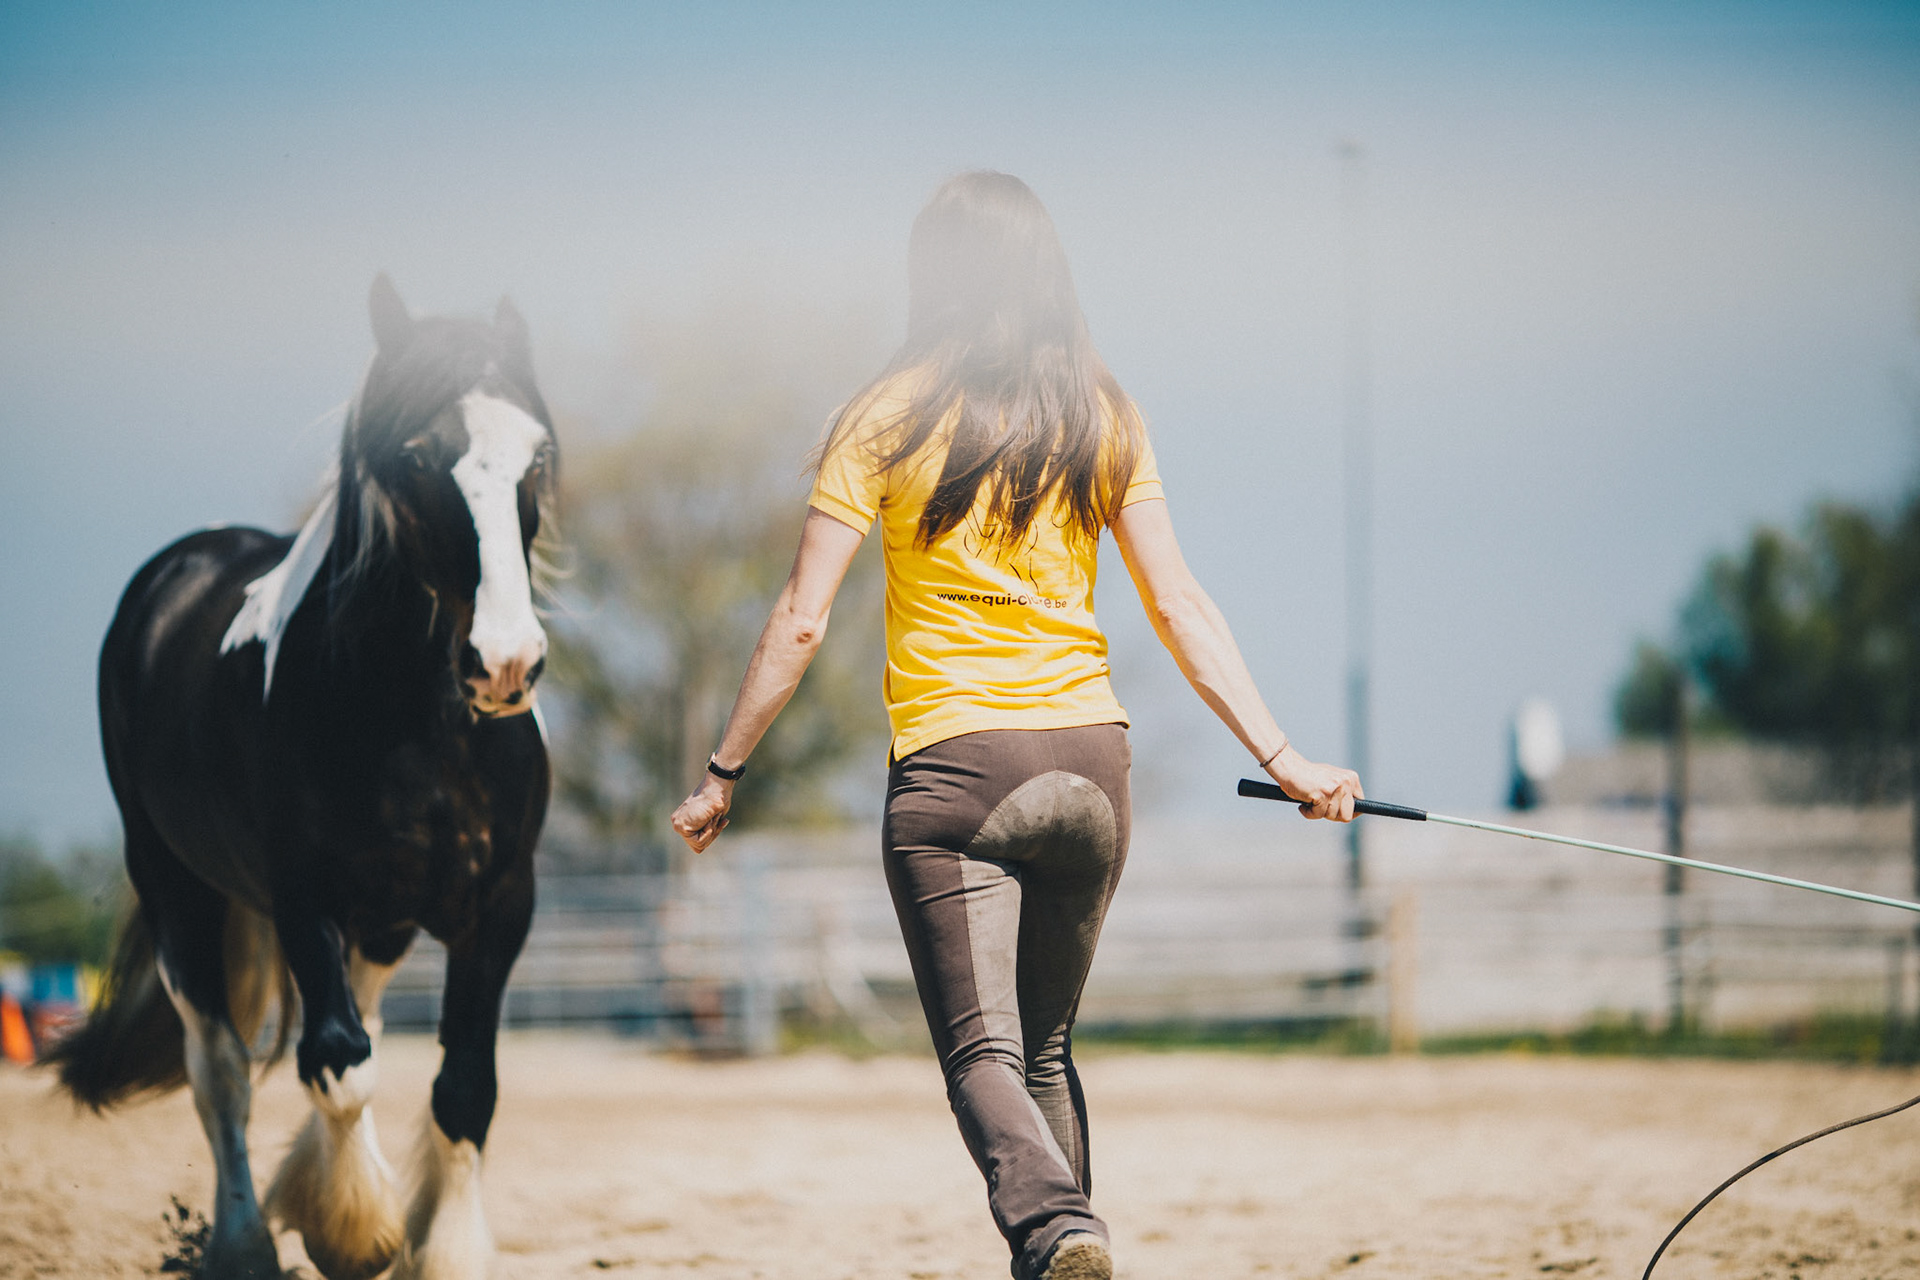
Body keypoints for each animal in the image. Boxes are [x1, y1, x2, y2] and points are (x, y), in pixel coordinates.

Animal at [50, 280, 556, 1280]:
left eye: (538, 455)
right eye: (417, 455)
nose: (506, 663)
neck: (422, 724)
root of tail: (182, 564)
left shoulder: (499, 905)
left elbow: (463, 1088)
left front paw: (436, 1247)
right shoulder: (300, 896)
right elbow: (336, 1064)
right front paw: (352, 1233)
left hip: (383, 922)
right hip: (179, 893)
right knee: (223, 1074)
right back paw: (245, 1240)